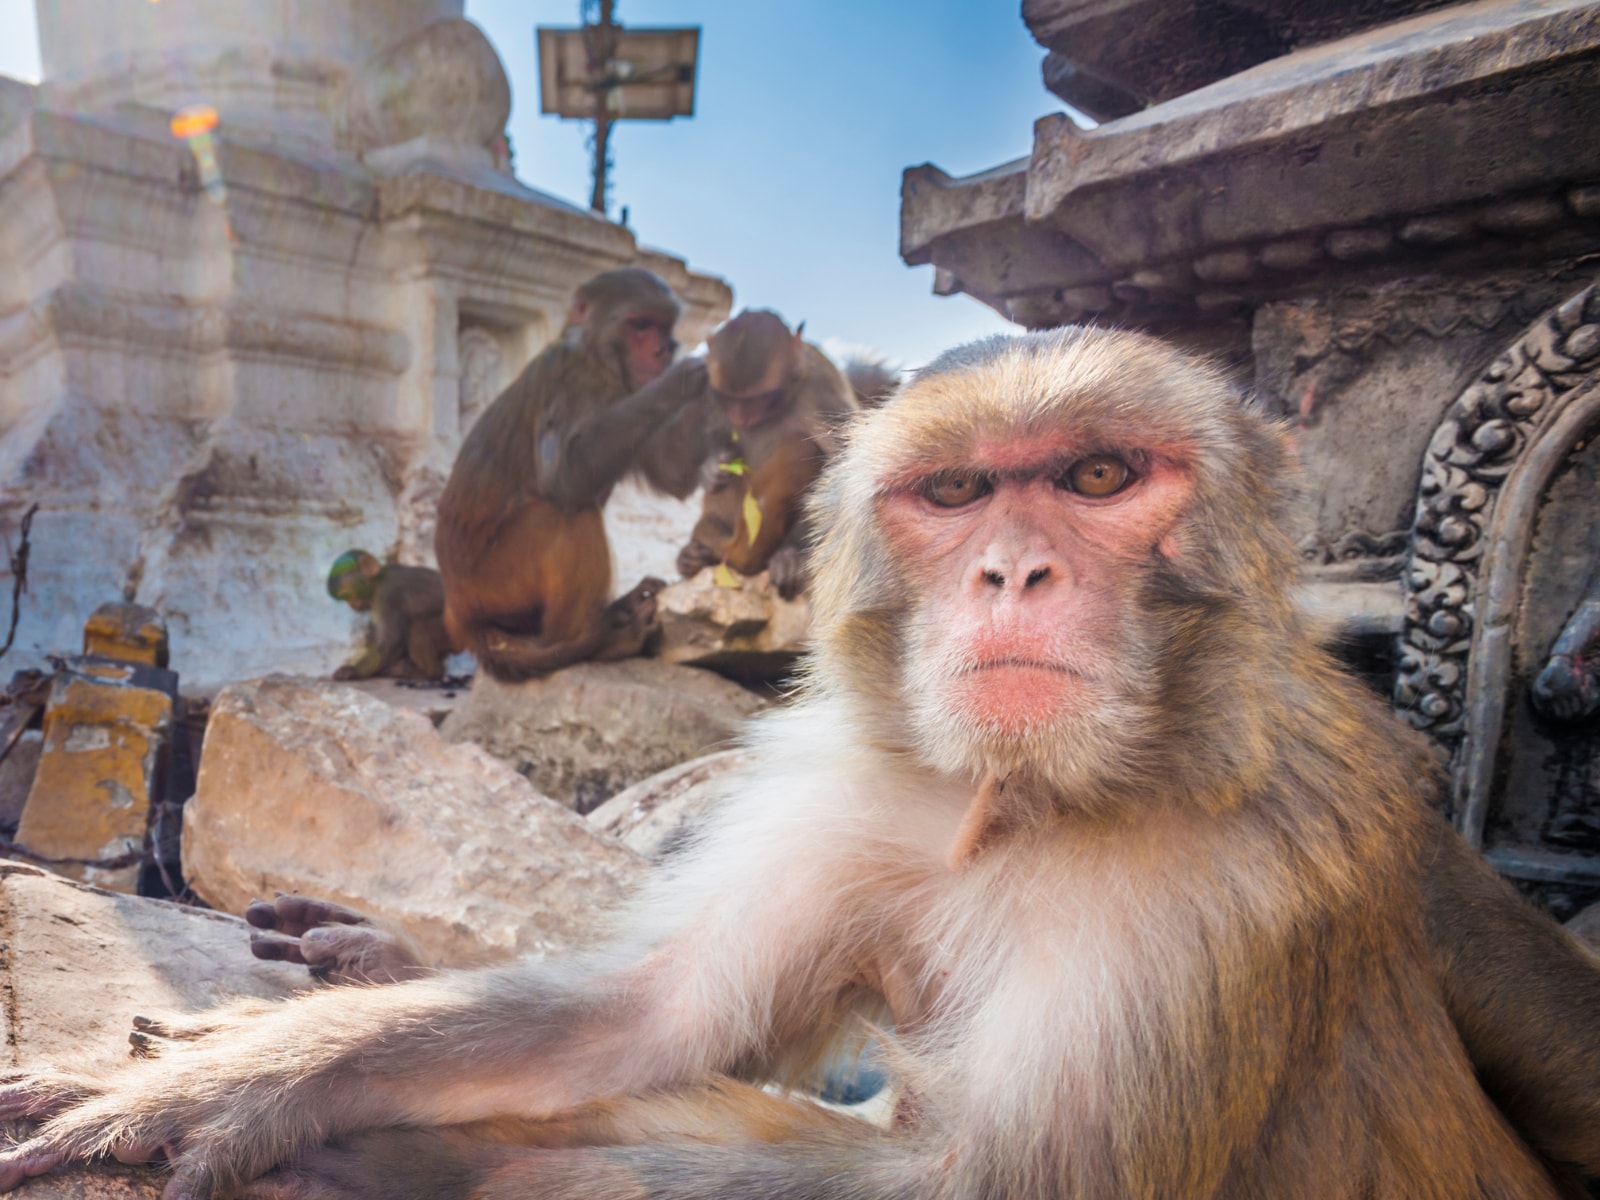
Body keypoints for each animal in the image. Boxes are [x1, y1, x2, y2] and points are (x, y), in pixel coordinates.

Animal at [325, 551, 460, 682]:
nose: (351, 604)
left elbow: (392, 639)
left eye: (347, 595)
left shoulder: (388, 595)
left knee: (417, 626)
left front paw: (353, 671)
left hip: (451, 634)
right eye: (344, 598)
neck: (378, 581)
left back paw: (431, 673)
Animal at [435, 268, 710, 682]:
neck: (600, 358)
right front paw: (683, 378)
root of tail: (455, 607)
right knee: (563, 513)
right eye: (640, 325)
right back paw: (589, 642)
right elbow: (564, 476)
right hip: (492, 583)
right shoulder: (573, 379)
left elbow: (675, 473)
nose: (662, 350)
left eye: (662, 326)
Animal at [675, 310, 857, 600]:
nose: (742, 418)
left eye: (762, 398)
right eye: (729, 398)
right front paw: (712, 470)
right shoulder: (708, 388)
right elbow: (716, 435)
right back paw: (696, 556)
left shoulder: (822, 384)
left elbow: (842, 463)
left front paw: (792, 554)